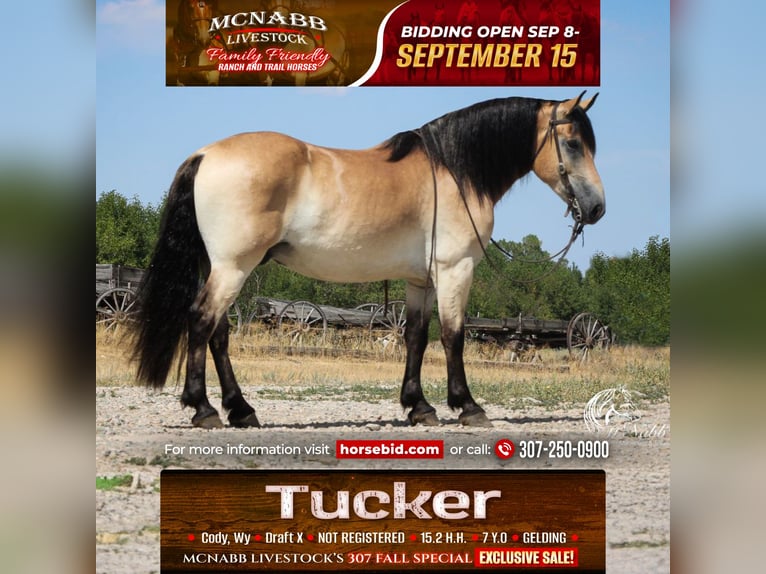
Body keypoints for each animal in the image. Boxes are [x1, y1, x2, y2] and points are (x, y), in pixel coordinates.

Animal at [132, 93, 605, 429]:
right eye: (572, 144)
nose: (597, 207)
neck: (453, 172)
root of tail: (205, 154)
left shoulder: (421, 281)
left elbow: (416, 337)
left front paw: (419, 407)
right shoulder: (455, 269)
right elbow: (453, 336)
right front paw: (467, 406)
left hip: (222, 267)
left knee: (218, 333)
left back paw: (241, 410)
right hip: (233, 267)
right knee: (200, 322)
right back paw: (205, 409)